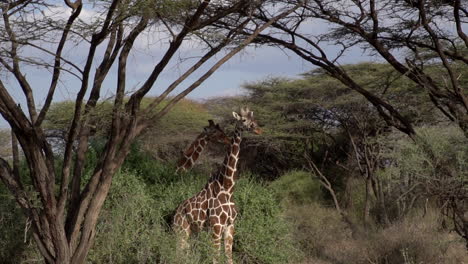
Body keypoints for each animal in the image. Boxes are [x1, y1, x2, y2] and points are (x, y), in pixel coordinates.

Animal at [173, 106, 262, 262]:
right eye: (243, 120)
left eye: (254, 119)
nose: (258, 130)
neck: (227, 188)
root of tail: (175, 213)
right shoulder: (216, 226)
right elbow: (215, 258)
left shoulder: (230, 226)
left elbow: (229, 258)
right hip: (181, 230)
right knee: (177, 252)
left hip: (192, 231)